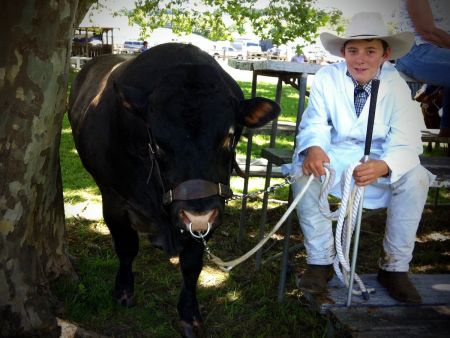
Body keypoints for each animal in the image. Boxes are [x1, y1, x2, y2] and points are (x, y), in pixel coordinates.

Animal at [68, 42, 280, 336]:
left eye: (229, 137)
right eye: (156, 143)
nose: (198, 214)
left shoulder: (204, 214)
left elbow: (191, 265)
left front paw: (189, 315)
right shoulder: (114, 200)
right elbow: (126, 247)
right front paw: (123, 290)